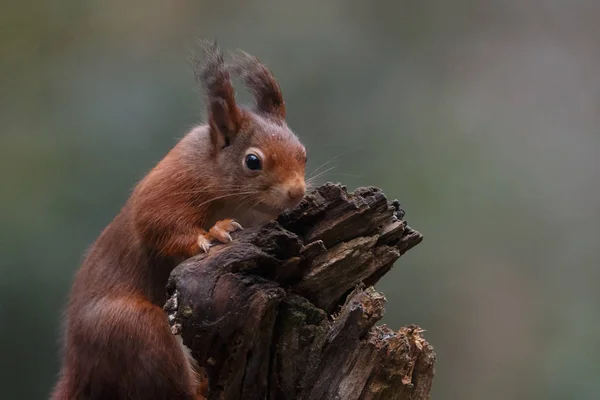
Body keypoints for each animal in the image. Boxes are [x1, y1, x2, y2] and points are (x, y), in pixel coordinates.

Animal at [51, 41, 308, 400]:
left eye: (303, 153)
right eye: (253, 161)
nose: (297, 192)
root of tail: (79, 367)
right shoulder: (174, 183)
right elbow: (155, 220)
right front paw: (211, 235)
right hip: (135, 329)